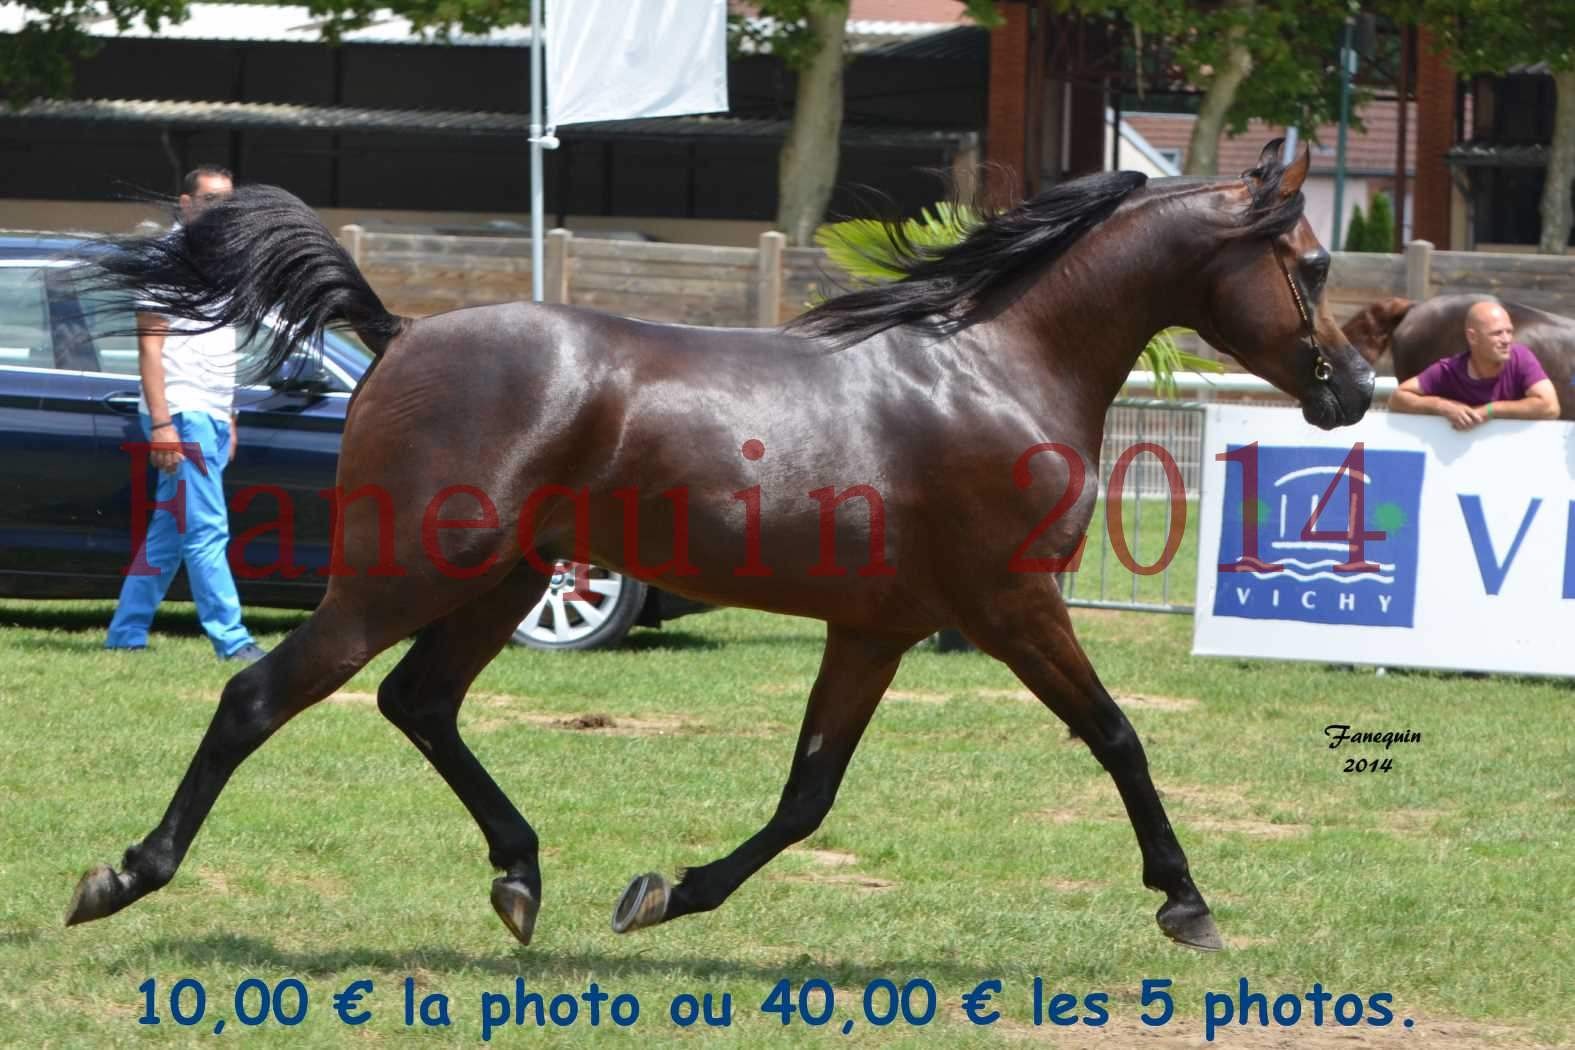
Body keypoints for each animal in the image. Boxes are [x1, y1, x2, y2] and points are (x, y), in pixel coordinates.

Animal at [58, 139, 1367, 950]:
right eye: (1310, 263)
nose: (1351, 389)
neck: (995, 368)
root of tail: (400, 333)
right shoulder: (1015, 609)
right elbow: (1119, 737)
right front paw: (1186, 903)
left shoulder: (877, 631)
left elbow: (806, 797)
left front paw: (661, 894)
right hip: (402, 577)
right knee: (260, 696)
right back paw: (122, 875)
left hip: (502, 581)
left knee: (418, 702)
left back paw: (521, 877)